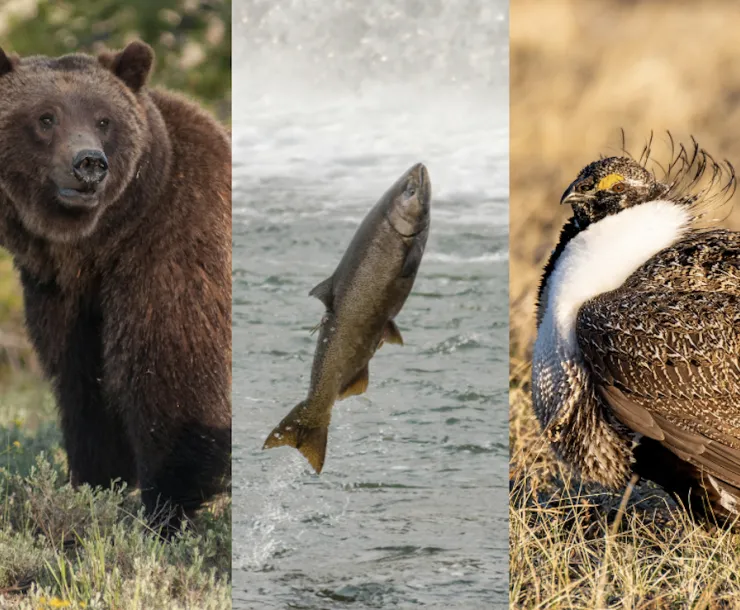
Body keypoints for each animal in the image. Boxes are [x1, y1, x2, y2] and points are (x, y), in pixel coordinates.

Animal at [0, 41, 231, 534]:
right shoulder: (61, 296)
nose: (88, 163)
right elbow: (84, 387)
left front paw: (166, 509)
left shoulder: (173, 248)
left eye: (104, 119)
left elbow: (174, 375)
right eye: (46, 117)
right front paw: (94, 483)